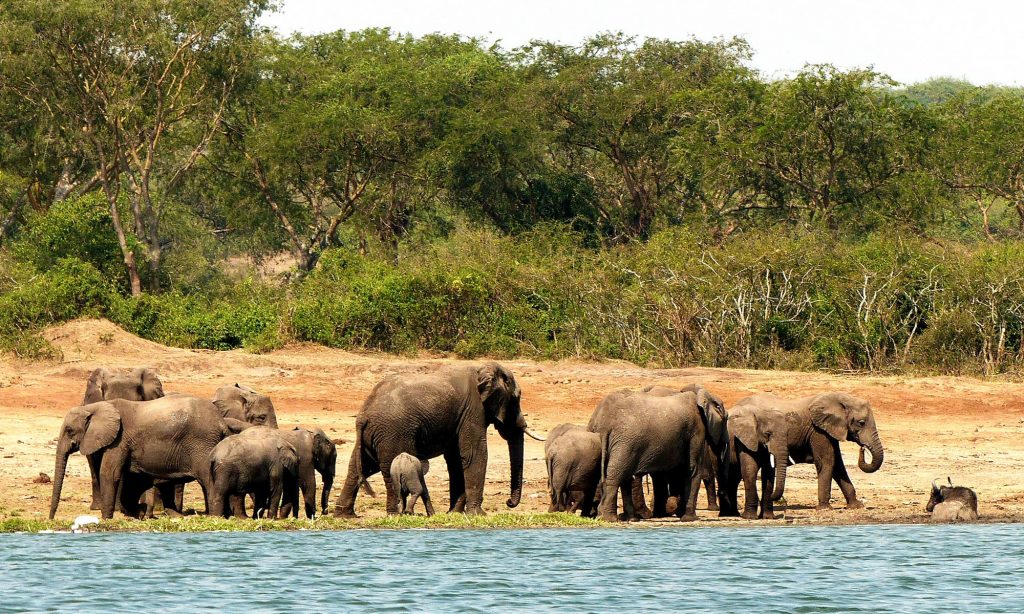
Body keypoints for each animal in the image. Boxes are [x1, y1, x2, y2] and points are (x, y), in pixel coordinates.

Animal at [49, 395, 240, 520]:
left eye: (69, 430)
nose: (51, 518)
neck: (95, 407)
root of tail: (221, 422)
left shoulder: (119, 440)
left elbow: (110, 474)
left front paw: (106, 518)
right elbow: (132, 479)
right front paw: (137, 513)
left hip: (202, 445)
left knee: (208, 481)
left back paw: (215, 517)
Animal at [334, 362, 544, 517]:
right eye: (516, 398)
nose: (509, 503)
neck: (483, 369)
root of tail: (363, 415)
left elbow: (456, 460)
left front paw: (455, 513)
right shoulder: (473, 411)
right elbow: (474, 454)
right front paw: (478, 514)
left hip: (374, 437)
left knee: (359, 468)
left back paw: (346, 516)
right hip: (392, 434)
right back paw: (394, 515)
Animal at [589, 386, 727, 522]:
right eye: (725, 419)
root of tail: (604, 424)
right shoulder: (696, 429)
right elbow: (692, 469)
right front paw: (690, 519)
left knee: (621, 477)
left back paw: (627, 518)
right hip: (626, 443)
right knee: (616, 476)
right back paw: (609, 518)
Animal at [733, 392, 884, 510]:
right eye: (861, 423)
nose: (863, 448)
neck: (839, 398)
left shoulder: (828, 430)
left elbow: (838, 464)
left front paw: (857, 506)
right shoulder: (817, 430)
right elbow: (827, 461)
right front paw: (825, 508)